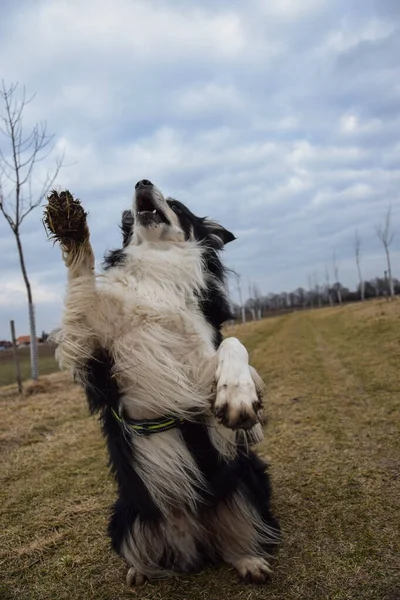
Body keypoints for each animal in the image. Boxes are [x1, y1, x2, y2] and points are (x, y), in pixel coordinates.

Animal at [45, 179, 280, 584]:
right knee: (144, 550)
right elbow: (81, 286)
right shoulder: (91, 350)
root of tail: (195, 540)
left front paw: (238, 397)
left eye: (176, 204)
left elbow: (234, 345)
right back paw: (139, 571)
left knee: (235, 539)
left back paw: (248, 560)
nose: (142, 182)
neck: (159, 266)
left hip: (249, 480)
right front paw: (70, 225)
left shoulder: (202, 365)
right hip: (125, 514)